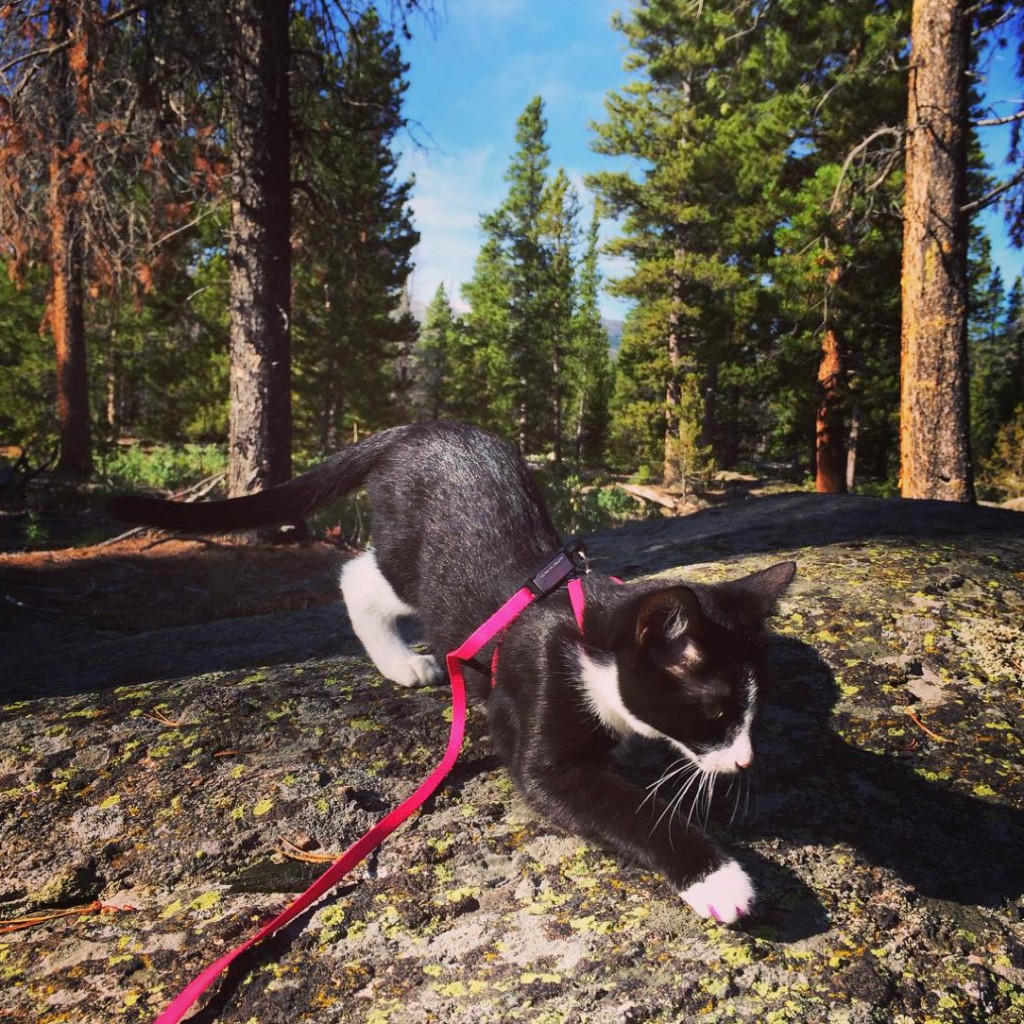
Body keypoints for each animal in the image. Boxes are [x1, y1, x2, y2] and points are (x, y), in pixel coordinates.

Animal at [105, 419, 790, 925]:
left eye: (754, 712)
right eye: (715, 711)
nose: (746, 761)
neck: (584, 637)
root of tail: (418, 428)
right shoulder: (540, 711)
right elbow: (626, 808)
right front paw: (719, 878)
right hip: (412, 559)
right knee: (358, 574)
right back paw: (404, 661)